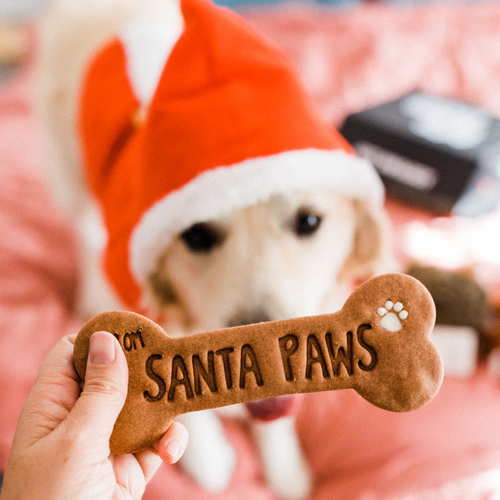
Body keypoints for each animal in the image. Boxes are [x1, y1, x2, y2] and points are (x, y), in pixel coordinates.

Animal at [37, 1, 392, 498]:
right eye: (198, 236)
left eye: (308, 221)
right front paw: (208, 456)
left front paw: (285, 465)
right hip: (69, 169)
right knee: (85, 231)